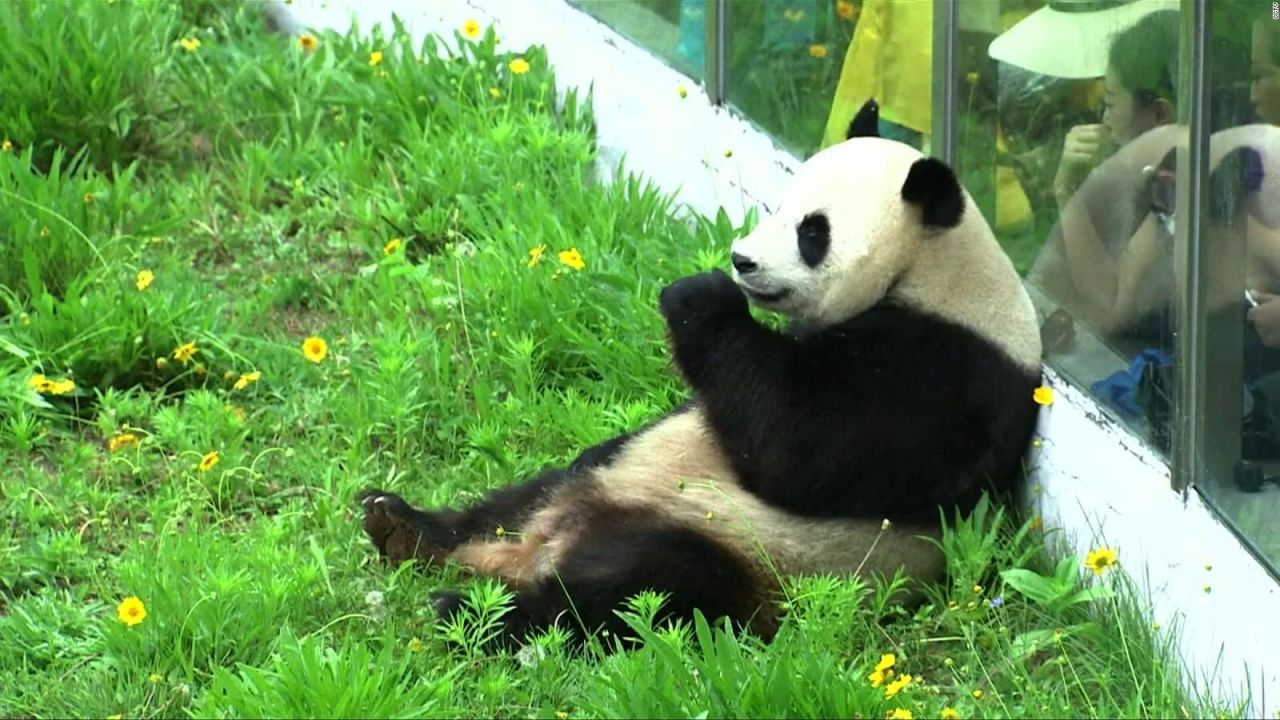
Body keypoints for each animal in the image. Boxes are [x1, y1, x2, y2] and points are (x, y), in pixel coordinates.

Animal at [358, 99, 1039, 645]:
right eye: (780, 205)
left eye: (812, 232)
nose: (742, 260)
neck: (939, 274)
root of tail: (540, 548)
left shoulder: (950, 376)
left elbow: (804, 448)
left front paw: (698, 296)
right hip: (597, 485)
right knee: (528, 495)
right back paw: (405, 526)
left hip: (746, 552)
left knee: (642, 589)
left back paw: (477, 613)